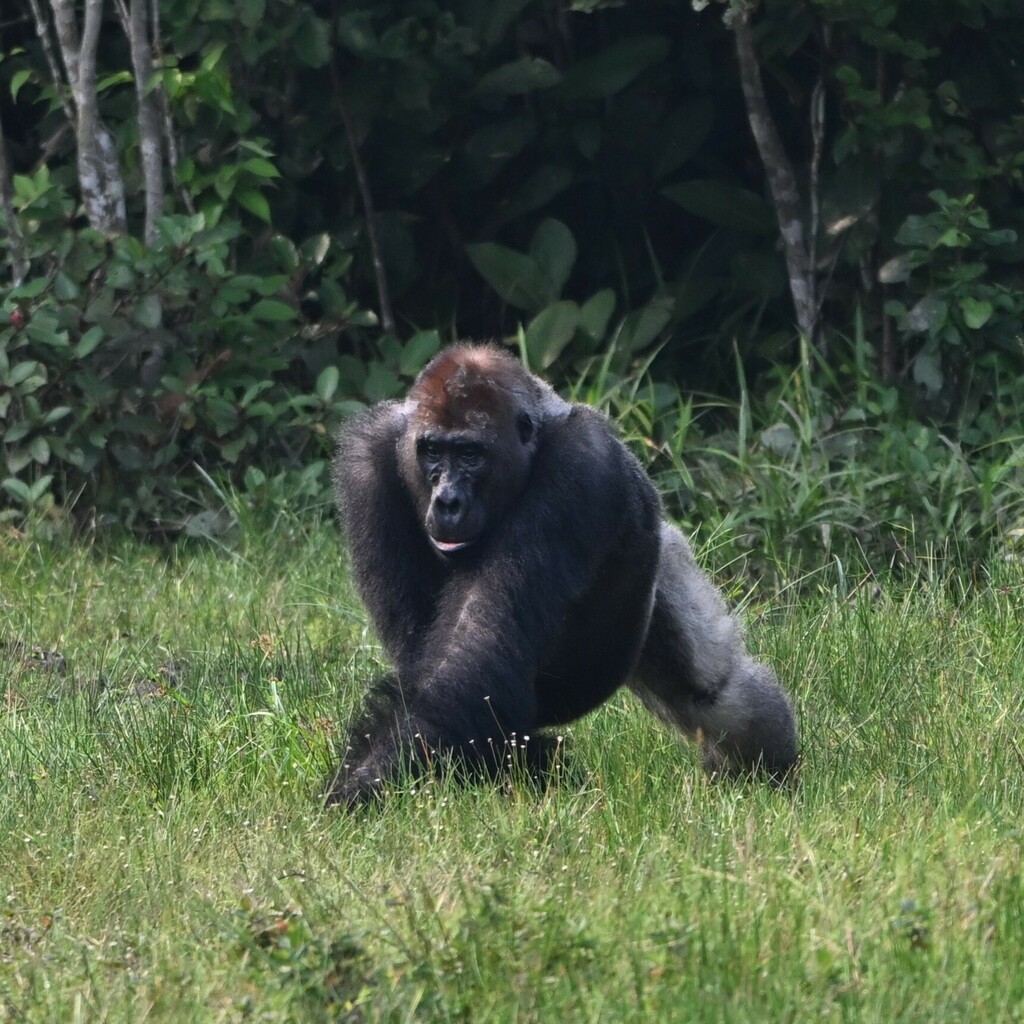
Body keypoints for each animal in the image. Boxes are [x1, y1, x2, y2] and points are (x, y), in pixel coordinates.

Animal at [325, 343, 797, 807]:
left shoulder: (581, 462)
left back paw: (769, 773)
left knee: (709, 688)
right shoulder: (367, 461)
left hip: (661, 560)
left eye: (471, 455)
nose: (447, 502)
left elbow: (465, 666)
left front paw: (362, 787)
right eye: (432, 452)